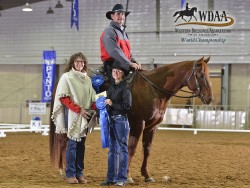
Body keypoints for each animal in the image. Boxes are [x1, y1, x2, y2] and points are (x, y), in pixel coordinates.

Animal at [49, 57, 213, 182]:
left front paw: (146, 175)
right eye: (200, 75)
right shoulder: (137, 124)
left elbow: (147, 149)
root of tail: (62, 79)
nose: (209, 98)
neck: (153, 89)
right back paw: (63, 171)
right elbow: (131, 148)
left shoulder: (152, 126)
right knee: (63, 142)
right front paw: (127, 176)